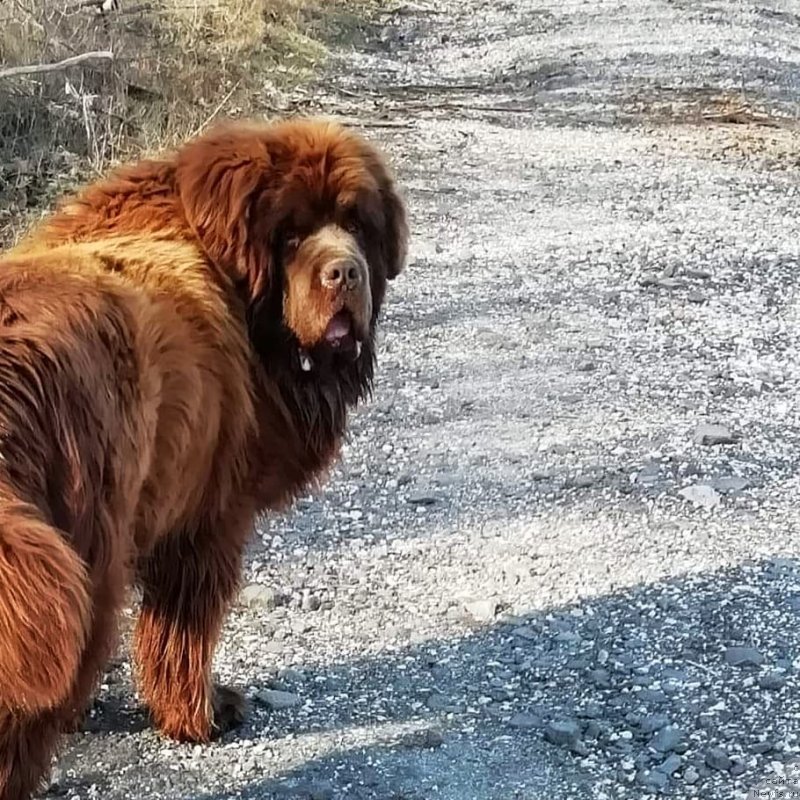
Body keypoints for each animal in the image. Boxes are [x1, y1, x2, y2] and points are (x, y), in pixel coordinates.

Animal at [0, 115, 406, 796]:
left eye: (356, 224)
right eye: (290, 235)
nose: (345, 274)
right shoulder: (210, 519)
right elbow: (184, 629)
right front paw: (199, 715)